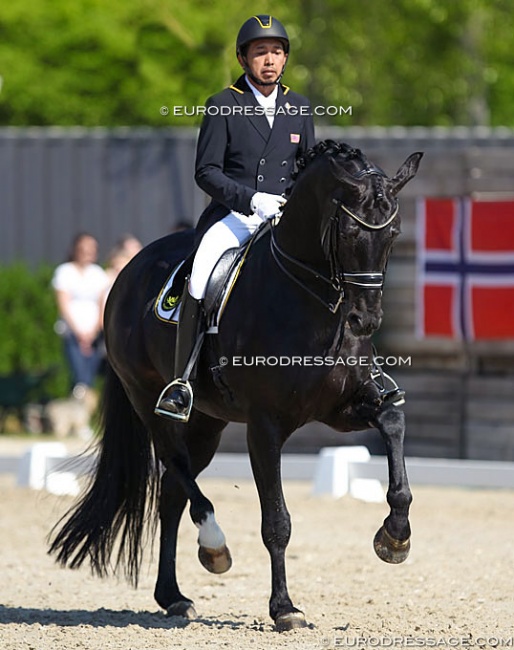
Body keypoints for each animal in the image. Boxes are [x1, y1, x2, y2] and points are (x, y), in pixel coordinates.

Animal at [50, 140, 422, 628]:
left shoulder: (342, 408)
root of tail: (127, 272)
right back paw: (213, 545)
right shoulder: (265, 427)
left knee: (171, 491)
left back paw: (174, 596)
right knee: (178, 472)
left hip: (207, 422)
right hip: (152, 402)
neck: (312, 302)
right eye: (347, 233)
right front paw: (285, 609)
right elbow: (276, 522)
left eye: (393, 234)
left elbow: (394, 424)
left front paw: (395, 538)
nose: (365, 321)